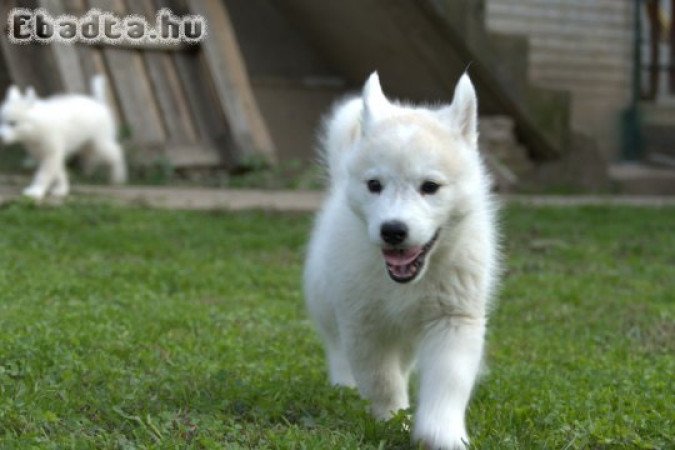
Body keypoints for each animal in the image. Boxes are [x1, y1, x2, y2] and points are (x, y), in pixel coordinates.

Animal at [304, 72, 500, 448]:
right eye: (374, 185)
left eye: (430, 187)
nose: (393, 231)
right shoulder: (362, 323)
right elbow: (382, 380)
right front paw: (393, 419)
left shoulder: (454, 319)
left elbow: (448, 381)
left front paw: (441, 433)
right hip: (326, 303)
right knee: (336, 346)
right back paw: (343, 384)